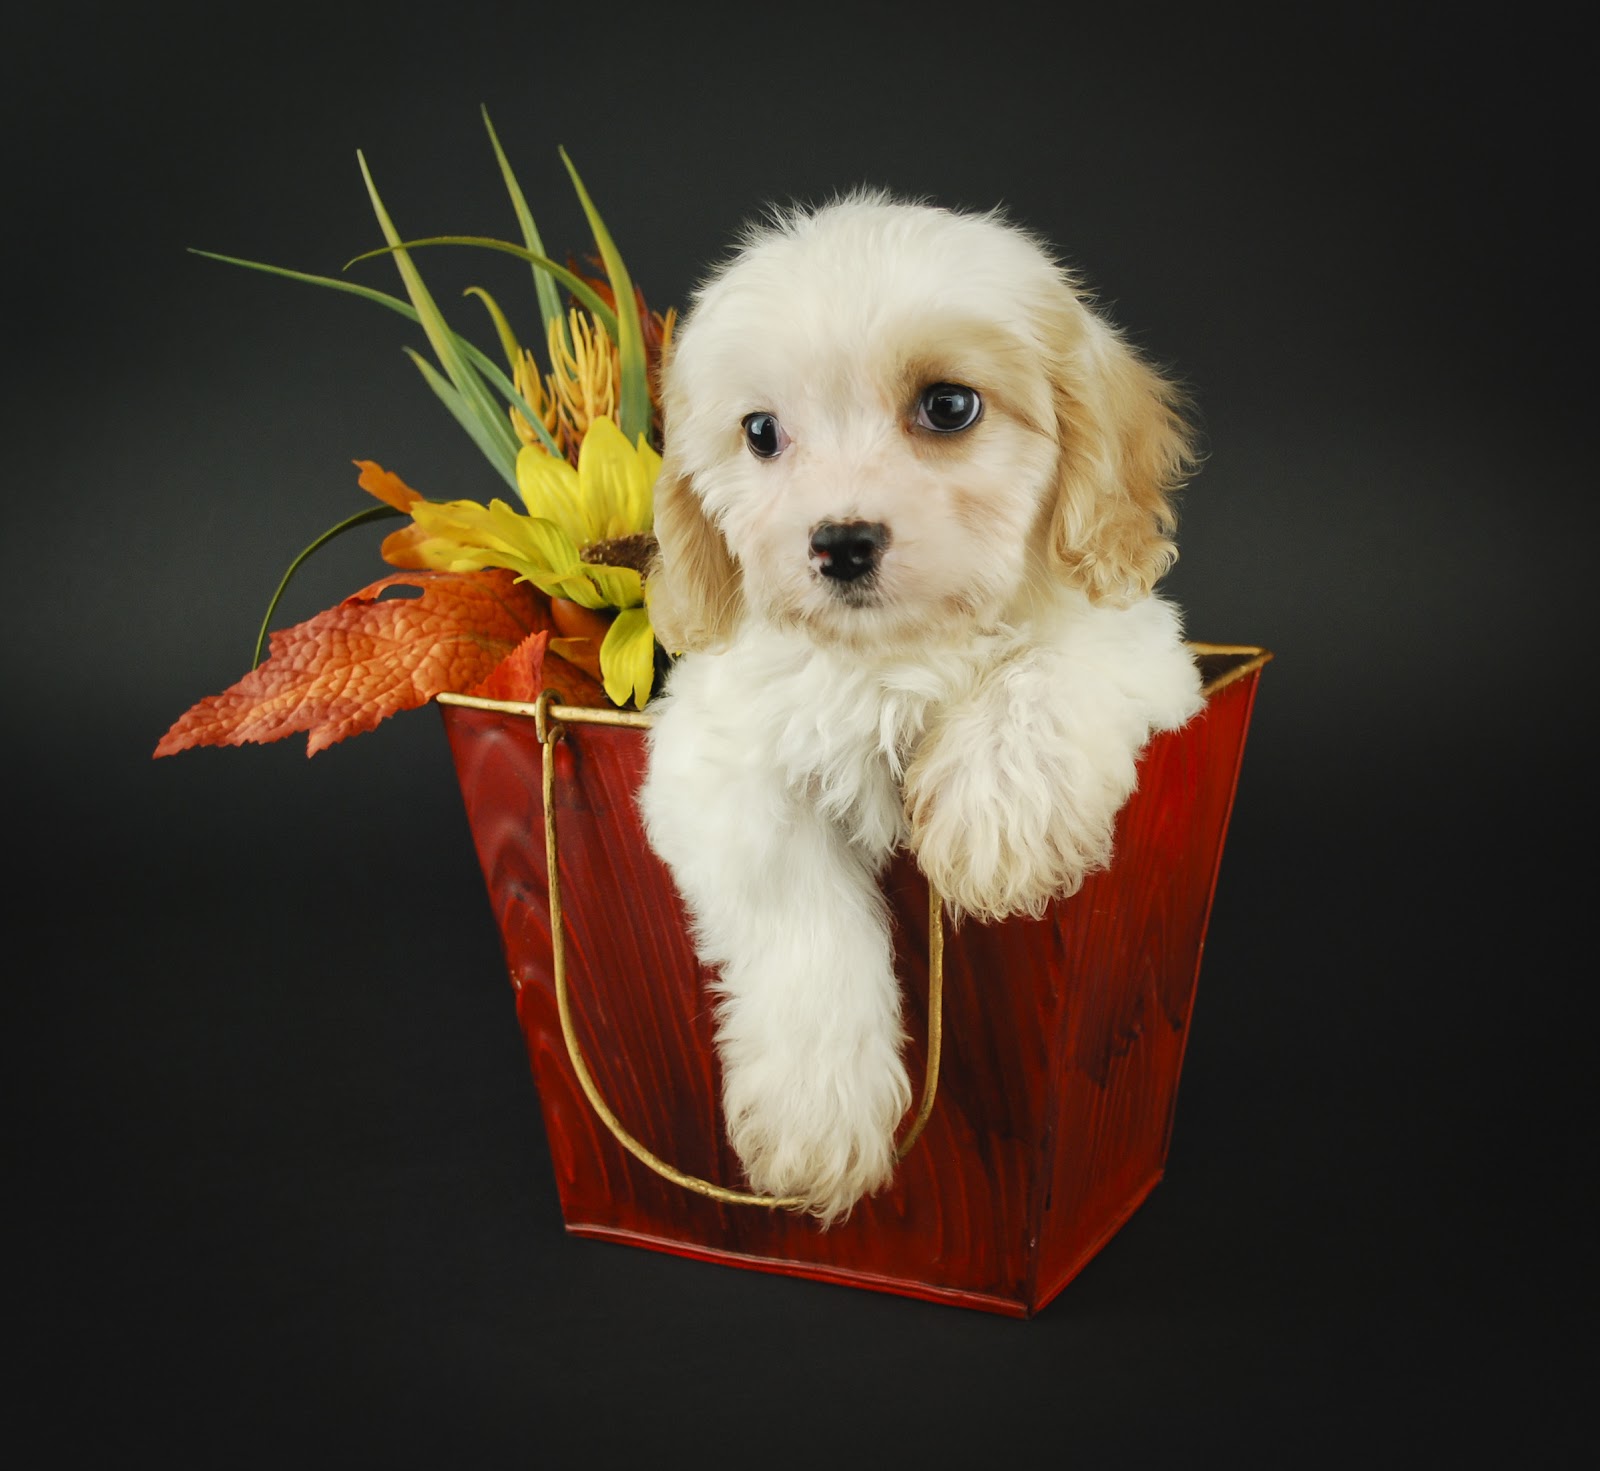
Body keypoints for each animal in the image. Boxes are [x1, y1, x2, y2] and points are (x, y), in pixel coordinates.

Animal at [636, 195, 1203, 1229]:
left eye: (949, 406)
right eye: (761, 432)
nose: (841, 542)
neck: (892, 658)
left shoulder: (1146, 647)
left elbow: (1050, 666)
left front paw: (998, 820)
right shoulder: (714, 757)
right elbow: (795, 906)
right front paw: (818, 1113)